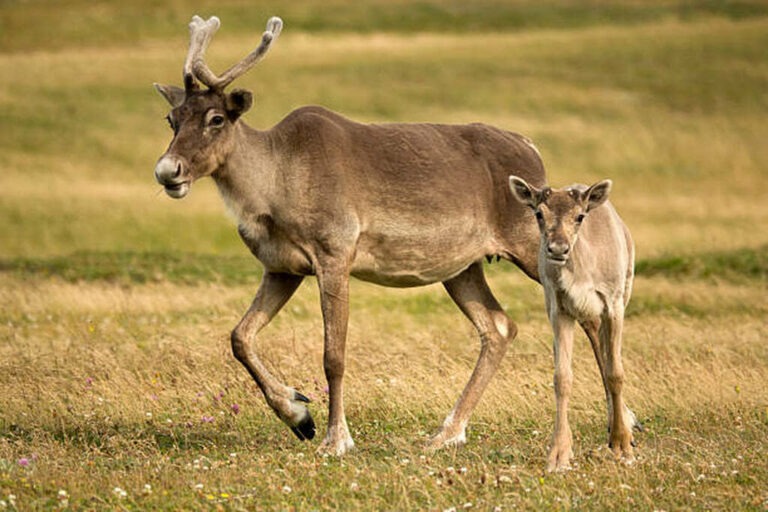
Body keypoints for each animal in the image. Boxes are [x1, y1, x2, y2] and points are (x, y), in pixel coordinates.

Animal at [153, 14, 548, 456]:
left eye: (216, 119)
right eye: (171, 119)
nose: (168, 171)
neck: (274, 188)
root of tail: (532, 148)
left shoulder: (335, 251)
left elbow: (333, 355)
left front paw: (336, 437)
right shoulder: (282, 266)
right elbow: (240, 336)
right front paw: (299, 415)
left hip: (530, 242)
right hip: (462, 266)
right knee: (498, 326)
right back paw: (447, 432)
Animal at [508, 175, 638, 471]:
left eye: (580, 216)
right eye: (538, 213)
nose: (558, 248)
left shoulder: (613, 301)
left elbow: (616, 373)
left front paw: (623, 444)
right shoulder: (559, 307)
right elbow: (562, 377)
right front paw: (559, 454)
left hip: (625, 285)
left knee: (607, 357)